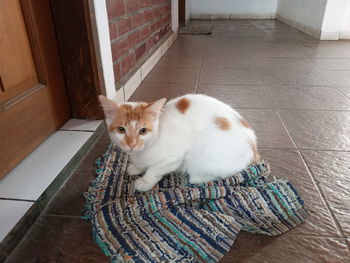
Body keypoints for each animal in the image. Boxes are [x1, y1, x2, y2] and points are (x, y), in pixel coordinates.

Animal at [98, 94, 260, 192]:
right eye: (121, 130)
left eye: (143, 131)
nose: (132, 144)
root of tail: (254, 150)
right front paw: (137, 167)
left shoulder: (174, 156)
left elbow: (154, 169)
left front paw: (145, 181)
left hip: (203, 157)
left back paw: (195, 178)